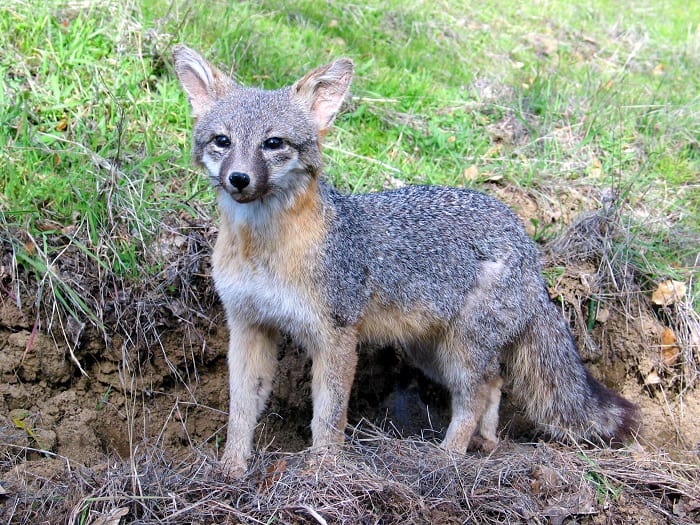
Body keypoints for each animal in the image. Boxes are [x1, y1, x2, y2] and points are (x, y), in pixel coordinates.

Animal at [172, 47, 636, 476]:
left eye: (273, 144)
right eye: (222, 141)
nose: (239, 179)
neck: (262, 250)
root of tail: (524, 239)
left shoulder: (336, 336)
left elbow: (328, 418)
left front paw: (323, 472)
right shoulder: (248, 325)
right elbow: (241, 410)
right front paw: (231, 469)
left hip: (459, 352)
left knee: (475, 395)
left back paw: (448, 458)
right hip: (431, 353)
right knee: (495, 381)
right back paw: (485, 442)